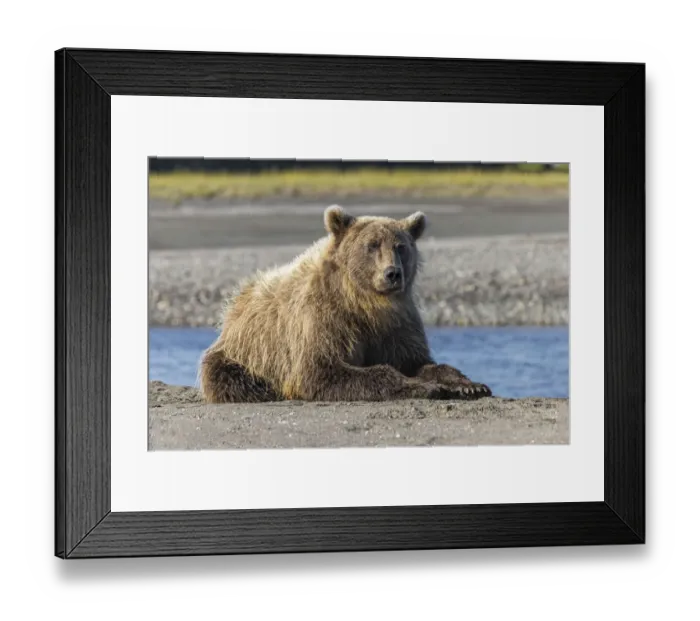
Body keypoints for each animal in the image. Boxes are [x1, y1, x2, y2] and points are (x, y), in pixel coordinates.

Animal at [199, 205, 492, 403]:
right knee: (229, 377)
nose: (392, 274)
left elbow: (419, 361)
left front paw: (469, 385)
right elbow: (322, 371)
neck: (366, 303)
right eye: (372, 245)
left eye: (400, 246)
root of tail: (238, 301)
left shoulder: (397, 324)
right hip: (244, 354)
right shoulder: (324, 319)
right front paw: (424, 387)